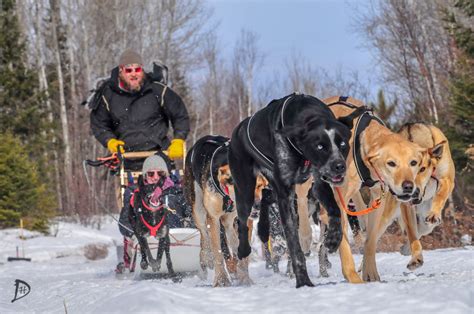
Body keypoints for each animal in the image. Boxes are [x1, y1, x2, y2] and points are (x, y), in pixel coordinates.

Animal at [228, 92, 364, 288]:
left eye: (343, 144)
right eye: (320, 146)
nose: (339, 166)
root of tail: (236, 131)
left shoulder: (319, 183)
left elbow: (335, 210)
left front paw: (333, 238)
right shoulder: (286, 196)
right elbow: (294, 244)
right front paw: (303, 281)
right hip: (245, 190)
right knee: (243, 219)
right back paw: (244, 249)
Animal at [320, 95, 432, 282]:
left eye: (413, 162)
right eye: (391, 163)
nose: (409, 186)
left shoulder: (377, 200)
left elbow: (371, 240)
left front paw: (370, 273)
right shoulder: (339, 202)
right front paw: (352, 276)